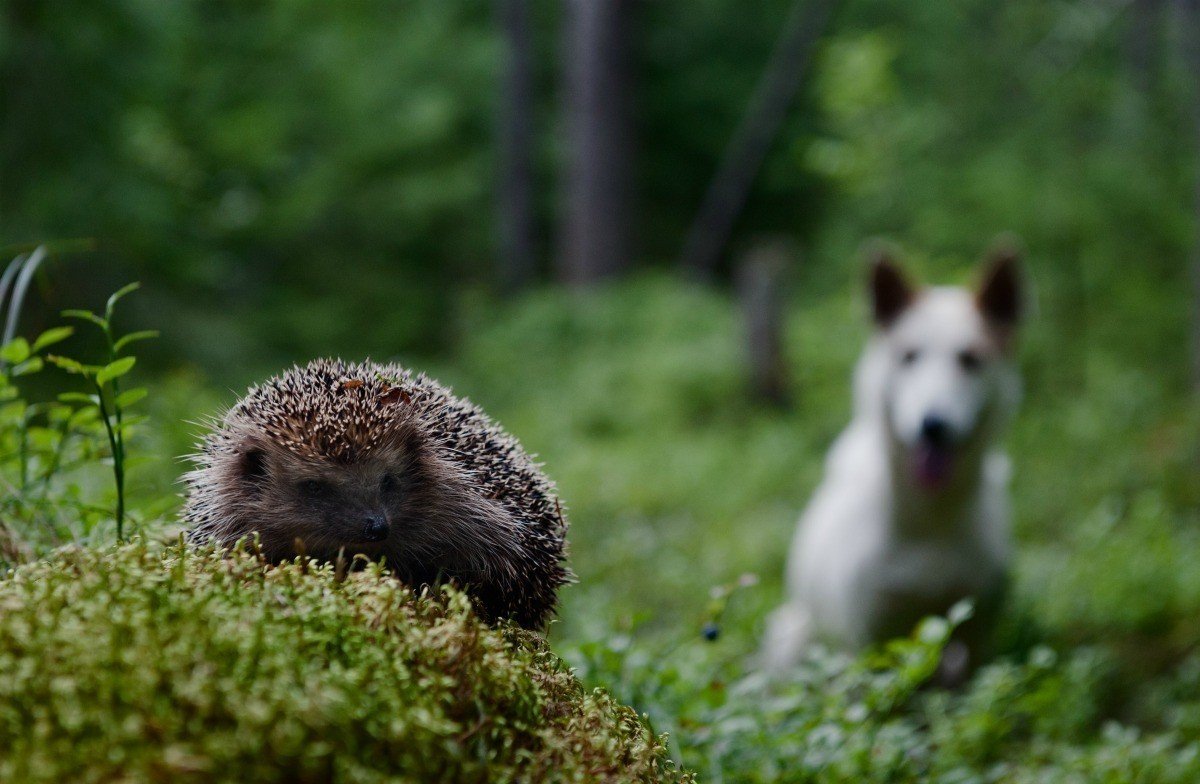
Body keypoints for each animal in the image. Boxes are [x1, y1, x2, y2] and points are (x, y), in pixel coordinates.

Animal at [763, 244, 1027, 672]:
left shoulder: (974, 632)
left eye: (970, 359)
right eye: (909, 356)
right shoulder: (866, 640)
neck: (929, 523)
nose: (933, 425)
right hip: (792, 635)